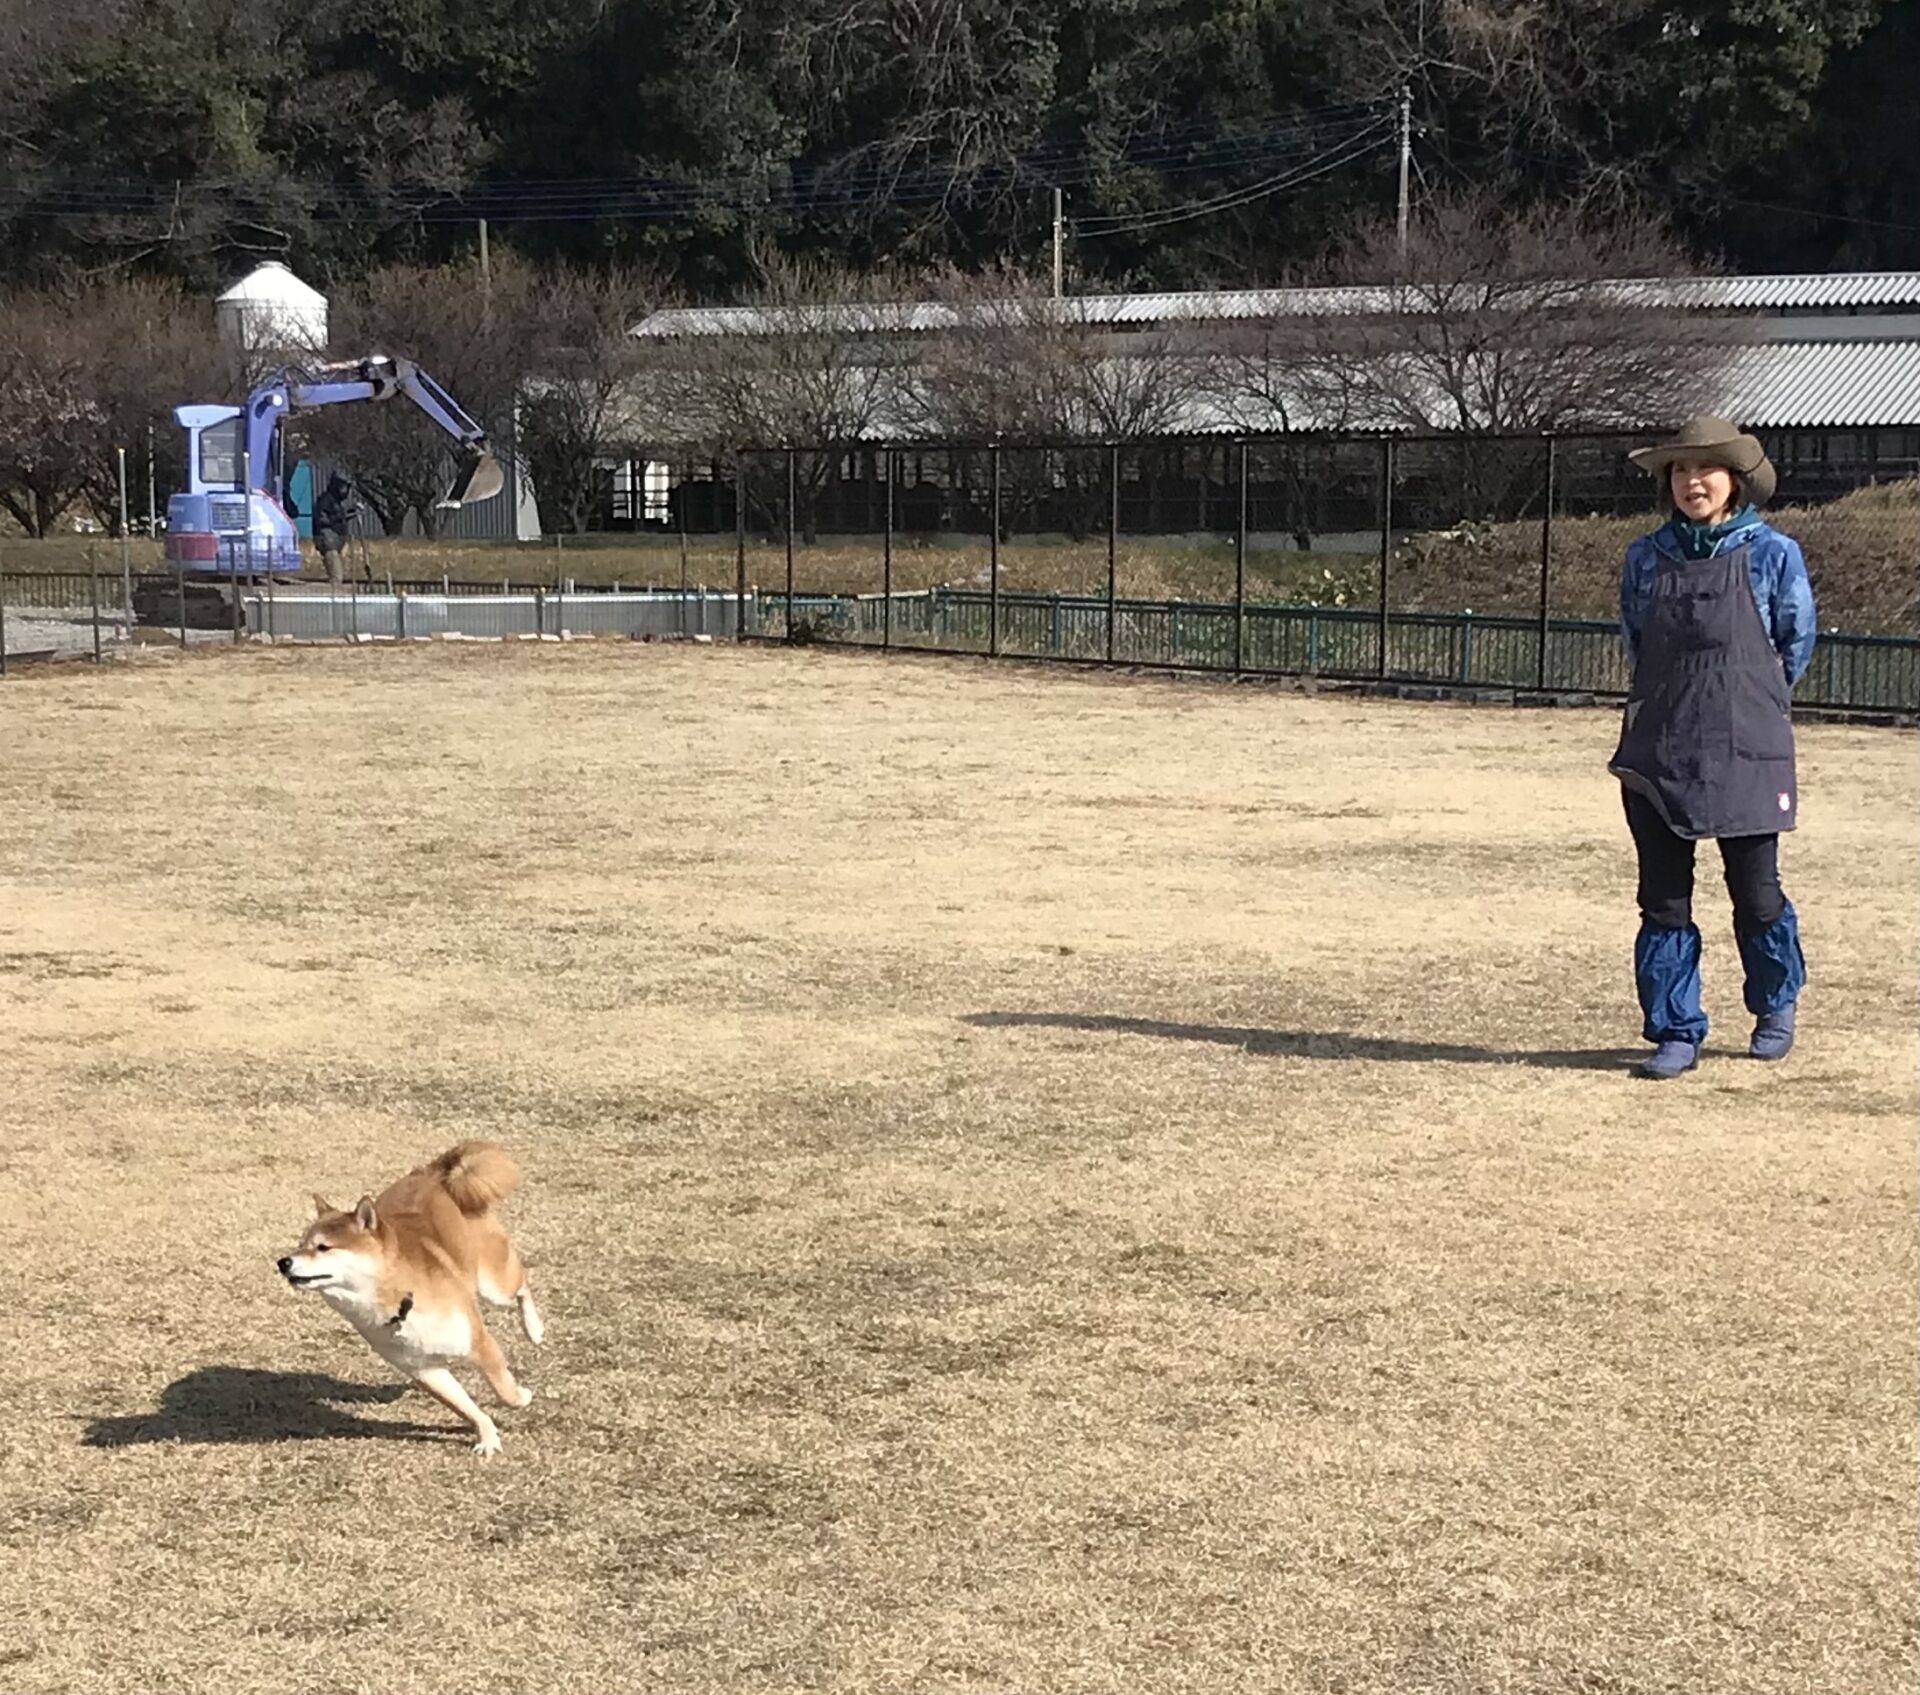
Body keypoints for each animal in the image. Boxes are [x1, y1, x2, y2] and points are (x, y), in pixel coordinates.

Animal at [277, 1141, 545, 1457]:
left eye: (323, 1247)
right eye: (300, 1245)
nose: (283, 1263)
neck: (398, 1301)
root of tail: (435, 1173)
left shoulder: (478, 1343)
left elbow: (503, 1390)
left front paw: (521, 1397)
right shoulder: (423, 1369)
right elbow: (465, 1408)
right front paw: (487, 1437)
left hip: (493, 1283)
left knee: (522, 1286)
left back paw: (535, 1329)